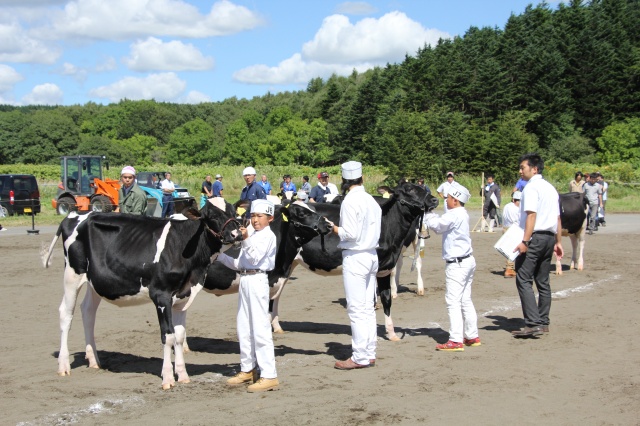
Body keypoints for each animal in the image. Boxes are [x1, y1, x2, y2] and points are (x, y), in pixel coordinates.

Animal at [42, 200, 242, 390]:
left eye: (233, 212)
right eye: (212, 216)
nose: (237, 234)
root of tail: (75, 214)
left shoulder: (183, 295)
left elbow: (178, 335)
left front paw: (183, 375)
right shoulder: (161, 295)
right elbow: (168, 336)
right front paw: (168, 378)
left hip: (95, 281)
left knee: (88, 312)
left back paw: (93, 360)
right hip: (72, 274)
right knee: (66, 314)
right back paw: (64, 365)